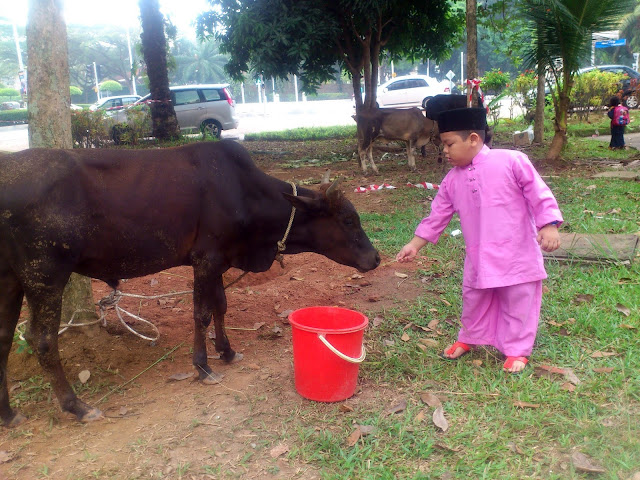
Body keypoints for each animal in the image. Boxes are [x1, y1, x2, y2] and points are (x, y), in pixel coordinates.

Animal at [0, 141, 380, 426]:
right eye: (348, 220)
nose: (375, 258)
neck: (244, 191)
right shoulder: (206, 259)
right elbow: (202, 314)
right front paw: (203, 366)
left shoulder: (219, 260)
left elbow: (220, 306)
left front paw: (226, 351)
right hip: (45, 274)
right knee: (42, 339)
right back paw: (76, 406)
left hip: (11, 278)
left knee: (4, 338)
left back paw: (8, 414)